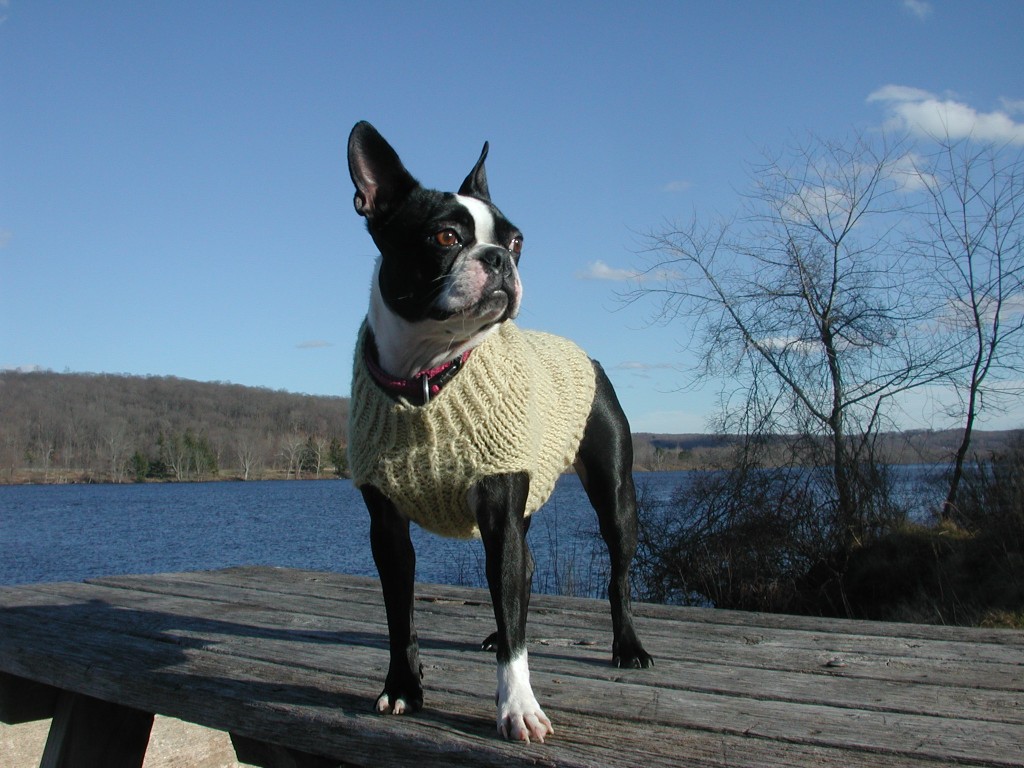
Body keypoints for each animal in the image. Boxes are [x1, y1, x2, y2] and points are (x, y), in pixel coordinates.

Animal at [342, 121, 647, 745]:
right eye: (444, 237)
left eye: (518, 241)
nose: (500, 257)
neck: (428, 376)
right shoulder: (387, 529)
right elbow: (400, 614)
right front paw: (402, 686)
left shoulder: (501, 511)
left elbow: (512, 615)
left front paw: (518, 706)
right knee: (520, 574)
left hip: (615, 495)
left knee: (617, 575)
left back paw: (627, 644)